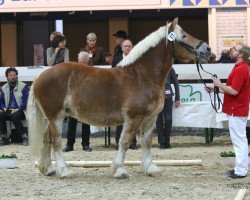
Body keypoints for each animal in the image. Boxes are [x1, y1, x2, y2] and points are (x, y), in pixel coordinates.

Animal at [26, 18, 211, 178]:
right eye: (184, 35)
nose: (207, 49)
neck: (142, 75)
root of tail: (39, 77)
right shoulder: (133, 118)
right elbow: (125, 141)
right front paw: (119, 170)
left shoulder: (150, 119)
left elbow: (147, 142)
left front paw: (149, 168)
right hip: (55, 117)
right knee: (56, 142)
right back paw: (64, 171)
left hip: (49, 118)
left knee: (46, 140)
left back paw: (49, 169)